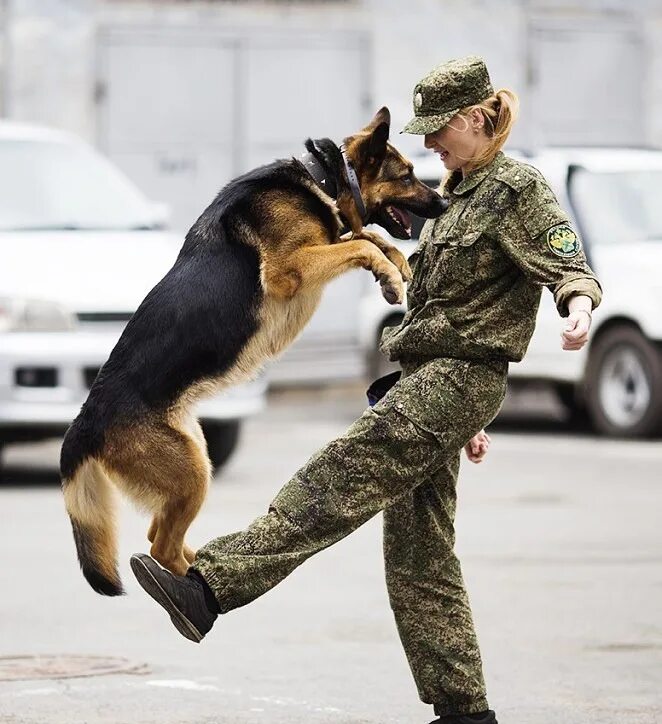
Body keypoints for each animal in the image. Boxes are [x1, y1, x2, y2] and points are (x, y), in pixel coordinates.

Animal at [61, 106, 446, 592]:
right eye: (408, 175)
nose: (445, 204)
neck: (322, 178)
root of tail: (85, 420)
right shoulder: (290, 270)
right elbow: (359, 241)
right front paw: (392, 274)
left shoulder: (322, 245)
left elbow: (369, 240)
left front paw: (395, 268)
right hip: (193, 476)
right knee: (160, 547)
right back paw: (196, 588)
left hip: (194, 461)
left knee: (156, 535)